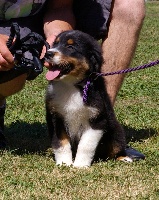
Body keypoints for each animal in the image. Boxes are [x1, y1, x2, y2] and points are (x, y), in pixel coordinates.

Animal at [45, 29, 132, 167]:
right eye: (55, 44)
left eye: (70, 47)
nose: (48, 53)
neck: (72, 86)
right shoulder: (56, 117)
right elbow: (61, 143)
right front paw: (64, 163)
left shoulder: (97, 119)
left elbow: (86, 145)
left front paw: (80, 165)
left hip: (116, 131)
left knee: (116, 148)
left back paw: (124, 158)